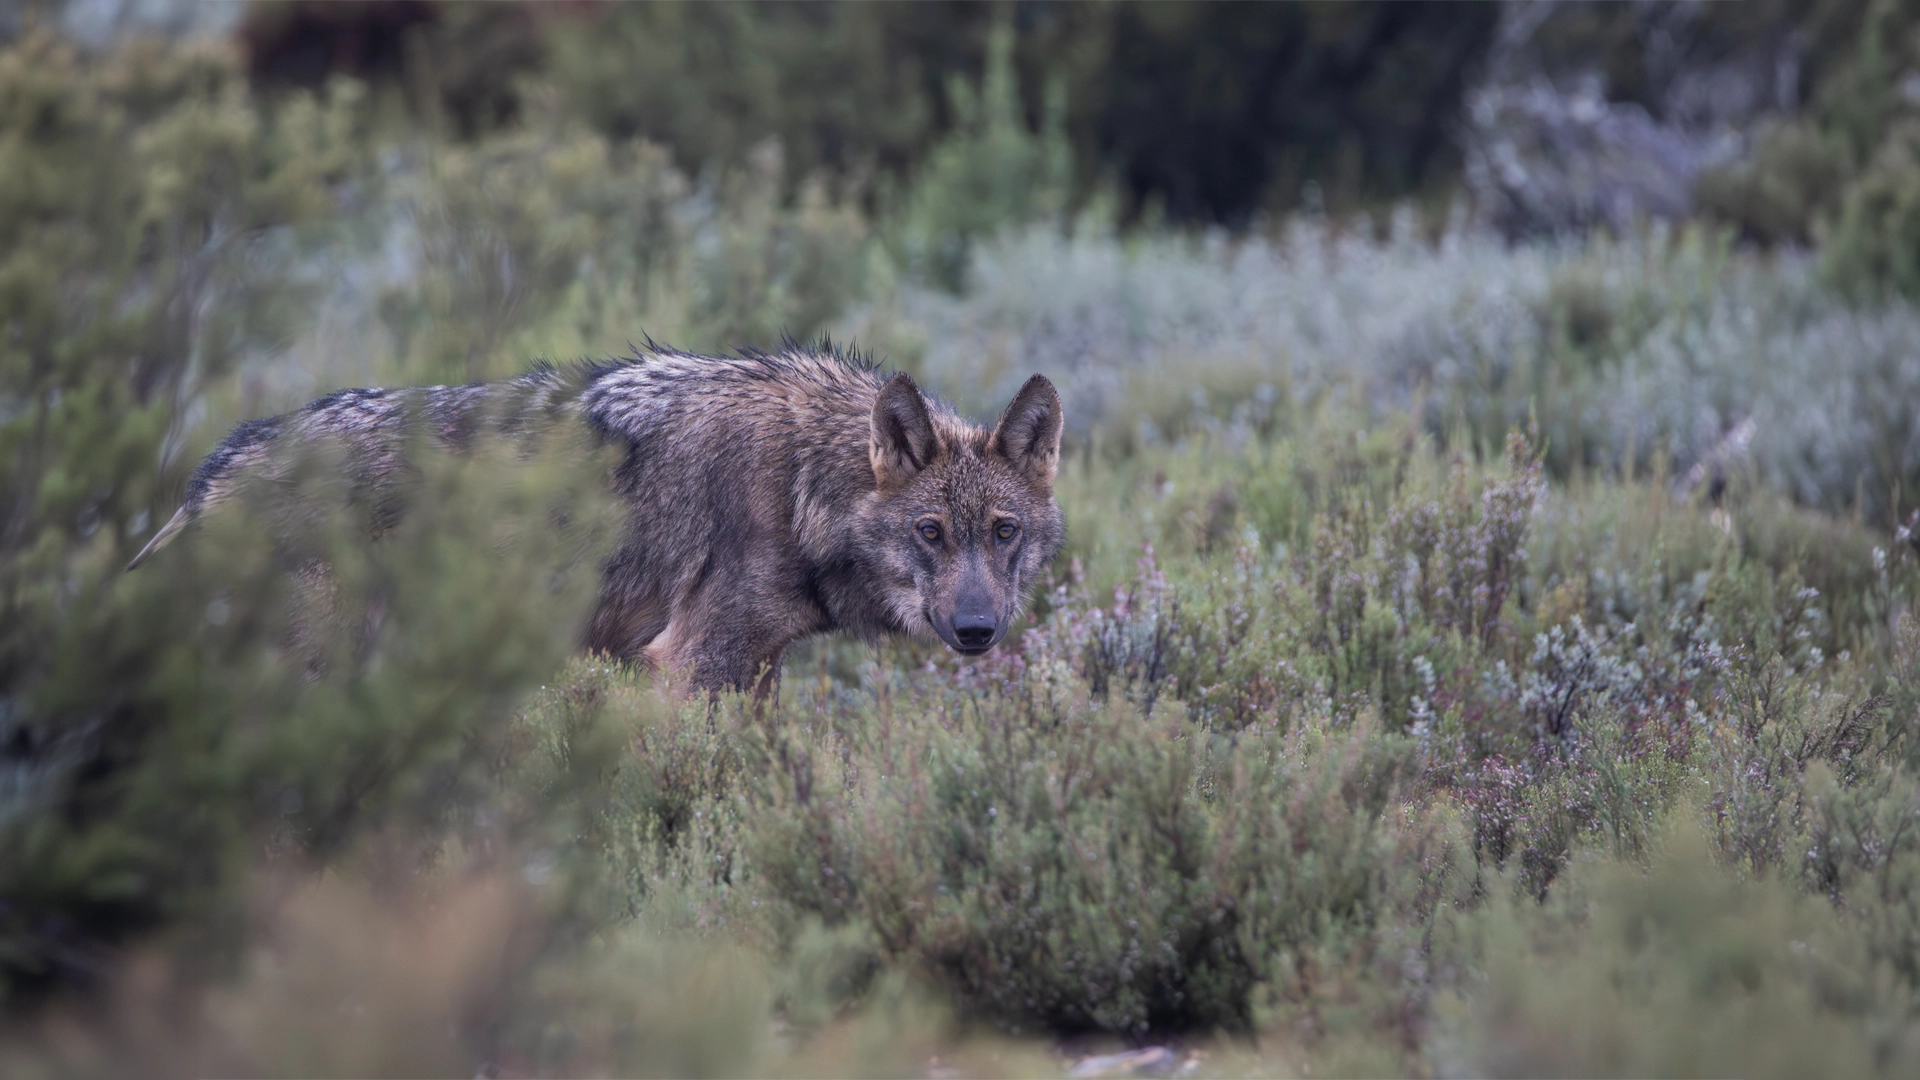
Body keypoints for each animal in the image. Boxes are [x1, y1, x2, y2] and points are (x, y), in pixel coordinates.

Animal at [130, 344, 1067, 693]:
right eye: (930, 533)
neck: (804, 482)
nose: (979, 630)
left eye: (1004, 532)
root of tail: (211, 472)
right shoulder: (690, 665)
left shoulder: (755, 667)